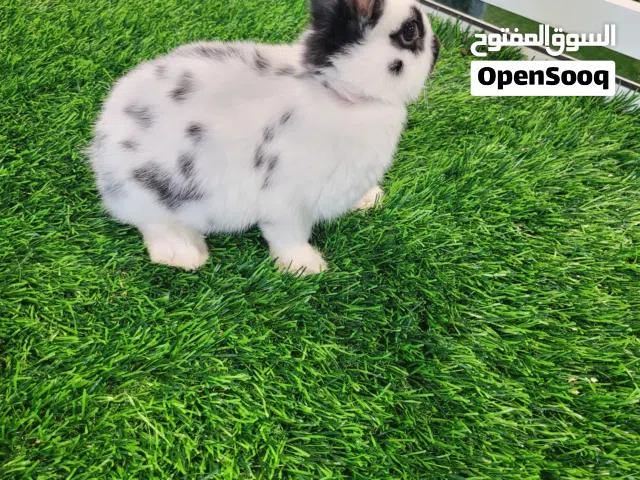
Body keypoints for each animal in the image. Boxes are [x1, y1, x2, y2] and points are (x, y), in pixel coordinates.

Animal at [88, 0, 440, 274]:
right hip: (153, 194)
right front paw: (307, 267)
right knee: (150, 222)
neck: (337, 89)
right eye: (410, 31)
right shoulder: (287, 202)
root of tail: (100, 146)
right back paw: (185, 254)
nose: (438, 47)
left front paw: (370, 199)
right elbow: (289, 236)